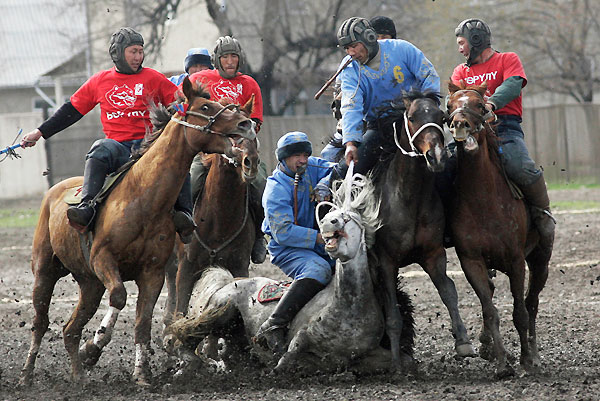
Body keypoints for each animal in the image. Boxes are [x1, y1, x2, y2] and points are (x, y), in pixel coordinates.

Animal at [19, 76, 254, 386]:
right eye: (206, 106)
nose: (246, 123)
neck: (143, 199)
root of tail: (54, 191)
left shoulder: (152, 273)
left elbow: (143, 322)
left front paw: (141, 373)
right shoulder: (104, 259)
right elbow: (119, 296)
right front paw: (94, 348)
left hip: (90, 284)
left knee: (71, 329)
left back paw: (79, 376)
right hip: (45, 272)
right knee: (40, 323)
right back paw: (27, 374)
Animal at [166, 170, 414, 374]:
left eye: (347, 218)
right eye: (331, 215)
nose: (328, 222)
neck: (349, 309)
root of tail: (230, 281)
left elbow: (403, 360)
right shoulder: (301, 338)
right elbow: (285, 360)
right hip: (222, 311)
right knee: (187, 331)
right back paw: (188, 360)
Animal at [372, 90, 476, 368]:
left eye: (441, 117)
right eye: (411, 117)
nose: (436, 156)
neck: (409, 200)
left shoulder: (433, 255)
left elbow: (448, 292)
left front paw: (463, 341)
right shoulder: (386, 261)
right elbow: (392, 311)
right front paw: (396, 362)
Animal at [448, 80, 552, 376]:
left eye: (480, 105)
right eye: (449, 105)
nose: (460, 124)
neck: (483, 199)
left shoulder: (516, 261)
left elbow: (520, 312)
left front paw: (526, 359)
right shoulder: (471, 261)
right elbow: (490, 309)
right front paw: (503, 363)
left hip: (540, 261)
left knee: (532, 303)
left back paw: (534, 355)